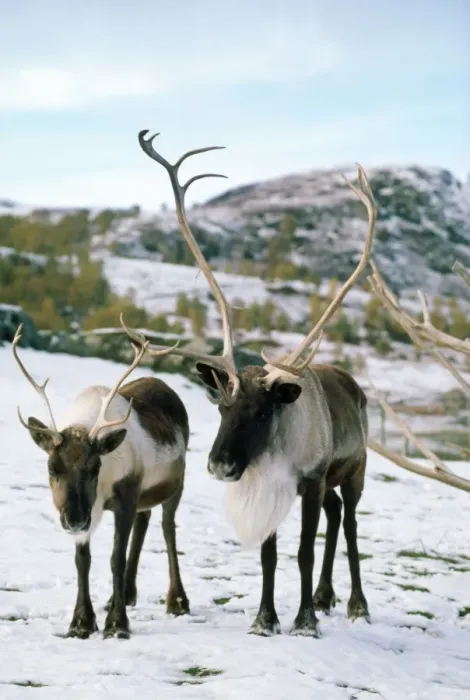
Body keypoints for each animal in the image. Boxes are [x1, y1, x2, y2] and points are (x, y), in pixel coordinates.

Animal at [11, 325, 190, 640]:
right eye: (52, 467)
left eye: (95, 466)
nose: (74, 519)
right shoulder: (90, 510)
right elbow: (83, 560)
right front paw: (81, 622)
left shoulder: (125, 497)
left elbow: (115, 559)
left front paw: (117, 624)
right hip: (140, 497)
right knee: (144, 522)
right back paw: (126, 595)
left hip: (175, 485)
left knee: (168, 528)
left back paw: (177, 600)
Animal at [121, 130, 377, 638]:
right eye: (221, 406)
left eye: (262, 411)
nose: (219, 465)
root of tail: (353, 386)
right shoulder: (274, 487)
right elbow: (269, 556)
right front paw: (265, 619)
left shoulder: (310, 479)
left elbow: (303, 552)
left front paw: (304, 622)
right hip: (332, 484)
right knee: (337, 515)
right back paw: (325, 596)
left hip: (355, 469)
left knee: (351, 523)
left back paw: (356, 604)